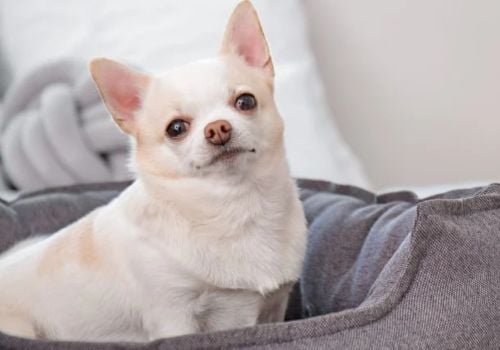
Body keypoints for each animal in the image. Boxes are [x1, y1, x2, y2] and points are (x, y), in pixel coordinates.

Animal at [0, 0, 306, 342]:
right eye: (176, 128)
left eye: (246, 101)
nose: (218, 129)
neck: (233, 206)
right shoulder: (174, 315)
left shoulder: (274, 309)